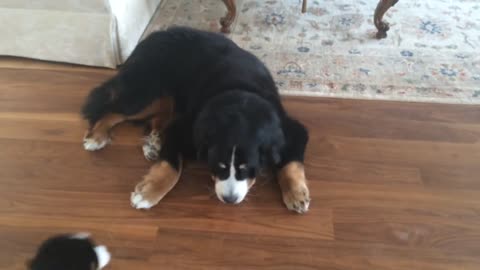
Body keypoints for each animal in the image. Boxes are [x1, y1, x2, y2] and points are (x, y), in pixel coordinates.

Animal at [82, 26, 312, 213]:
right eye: (219, 165)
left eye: (246, 168)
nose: (229, 199)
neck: (240, 98)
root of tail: (154, 36)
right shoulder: (186, 129)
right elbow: (171, 167)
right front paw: (148, 193)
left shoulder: (291, 129)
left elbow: (291, 163)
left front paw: (296, 194)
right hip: (149, 92)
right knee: (113, 110)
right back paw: (97, 137)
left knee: (155, 119)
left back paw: (153, 143)